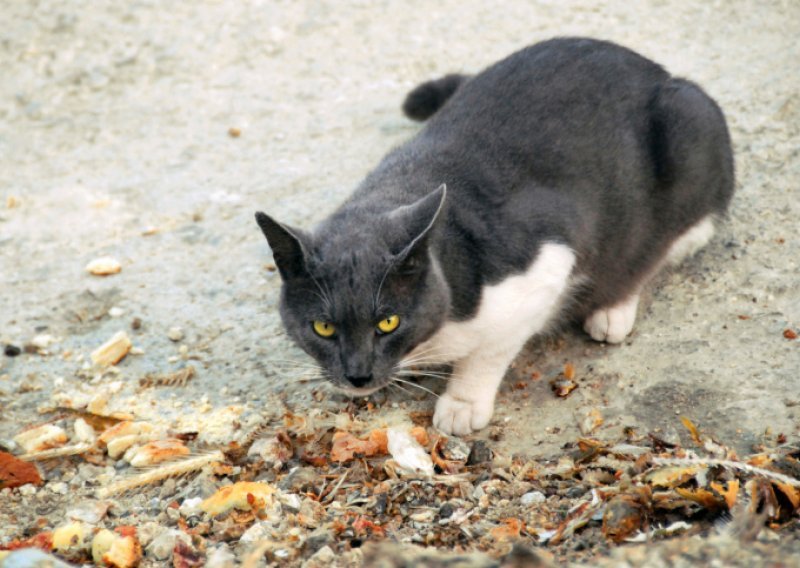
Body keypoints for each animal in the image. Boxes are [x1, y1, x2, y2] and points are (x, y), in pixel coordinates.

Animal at [255, 36, 732, 434]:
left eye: (388, 322)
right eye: (323, 328)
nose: (358, 375)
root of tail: (654, 68)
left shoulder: (543, 263)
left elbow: (487, 352)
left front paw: (462, 404)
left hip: (689, 129)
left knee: (663, 245)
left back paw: (612, 308)